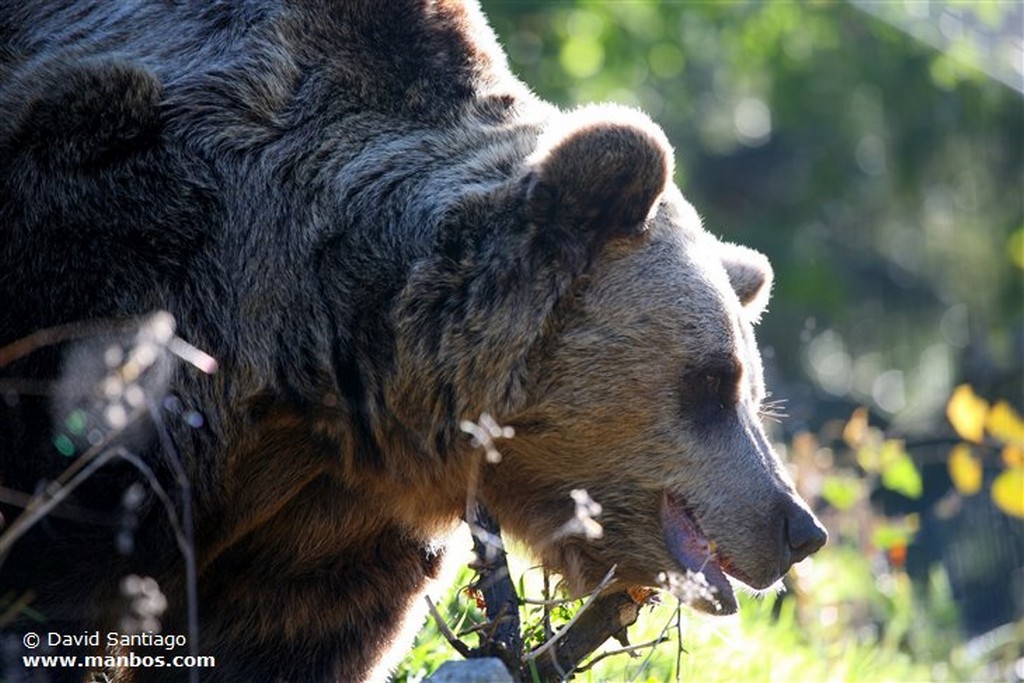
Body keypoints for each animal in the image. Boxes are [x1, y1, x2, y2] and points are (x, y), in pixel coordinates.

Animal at [0, 1, 823, 683]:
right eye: (713, 378)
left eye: (751, 393)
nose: (798, 527)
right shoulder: (112, 270)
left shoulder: (331, 532)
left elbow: (287, 643)